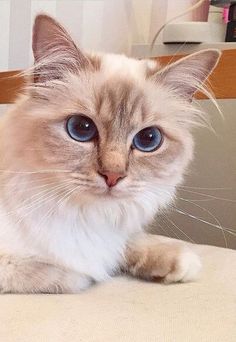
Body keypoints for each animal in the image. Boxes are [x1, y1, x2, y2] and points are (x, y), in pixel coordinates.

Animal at [0, 12, 220, 292]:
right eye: (81, 128)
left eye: (148, 139)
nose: (113, 176)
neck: (83, 214)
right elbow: (60, 274)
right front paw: (86, 275)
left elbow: (132, 242)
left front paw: (178, 262)